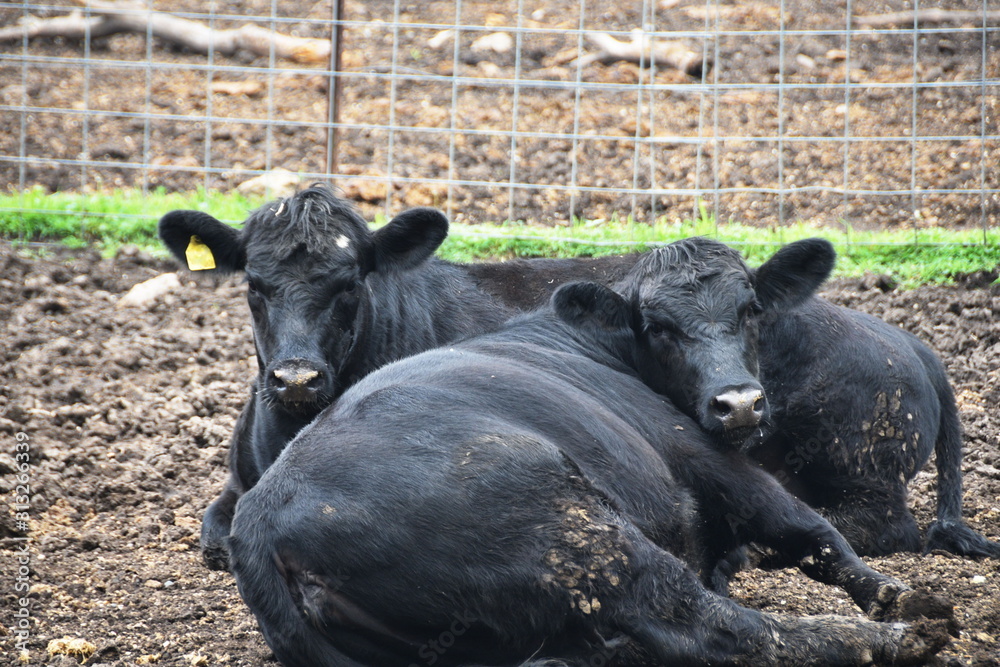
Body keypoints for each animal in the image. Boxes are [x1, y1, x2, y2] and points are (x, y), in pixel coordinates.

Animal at [227, 282, 950, 667]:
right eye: (661, 326)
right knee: (717, 626)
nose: (740, 401)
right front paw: (897, 598)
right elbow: (815, 534)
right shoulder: (718, 465)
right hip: (576, 532)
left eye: (748, 308)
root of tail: (259, 515)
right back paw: (897, 636)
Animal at [618, 236, 1000, 560]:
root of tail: (918, 347)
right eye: (656, 326)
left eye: (751, 310)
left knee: (887, 525)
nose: (740, 404)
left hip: (859, 460)